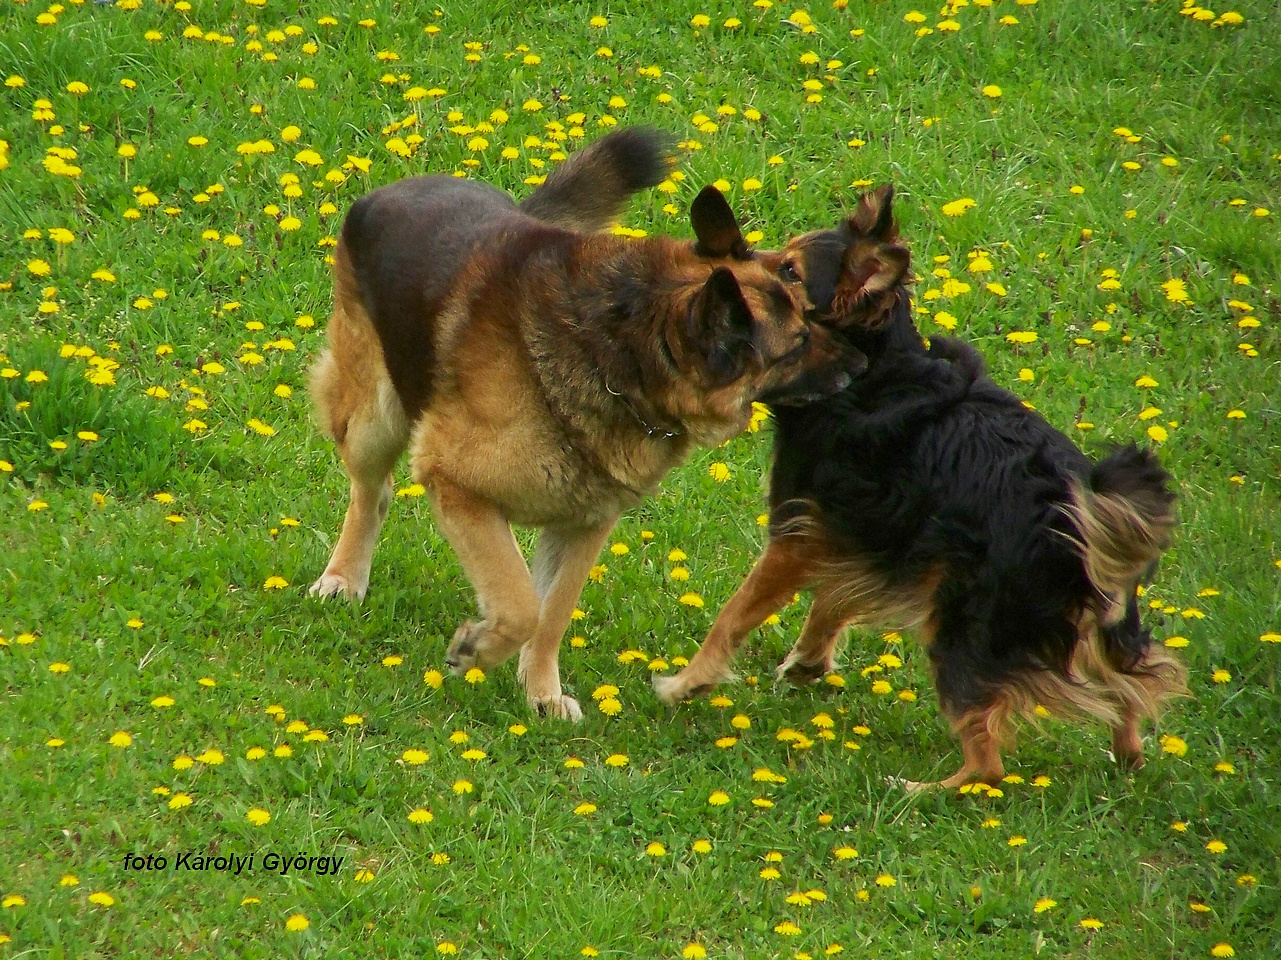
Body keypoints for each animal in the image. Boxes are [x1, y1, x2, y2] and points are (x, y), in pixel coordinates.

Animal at [307, 127, 860, 717]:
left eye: (811, 317)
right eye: (797, 344)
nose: (863, 363)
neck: (616, 354)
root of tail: (394, 190)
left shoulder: (585, 523)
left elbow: (550, 614)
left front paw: (541, 694)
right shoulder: (456, 486)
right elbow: (520, 604)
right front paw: (479, 650)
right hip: (373, 417)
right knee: (373, 494)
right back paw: (343, 577)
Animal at [655, 187, 1183, 784]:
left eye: (790, 271)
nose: (726, 261)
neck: (875, 367)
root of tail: (1076, 511)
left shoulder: (798, 533)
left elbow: (736, 614)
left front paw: (688, 681)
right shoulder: (865, 529)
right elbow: (833, 600)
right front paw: (808, 661)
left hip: (962, 625)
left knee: (987, 762)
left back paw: (921, 788)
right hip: (1096, 623)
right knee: (1131, 689)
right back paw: (1127, 757)